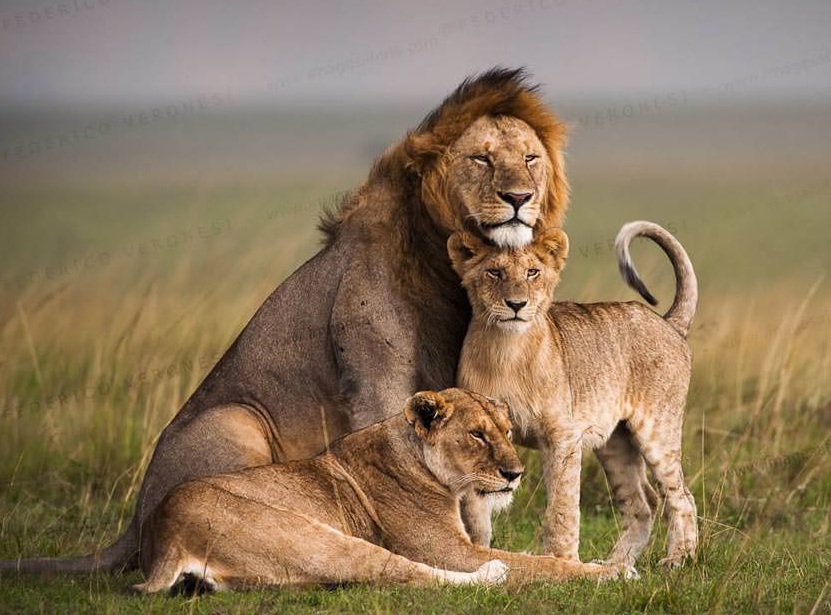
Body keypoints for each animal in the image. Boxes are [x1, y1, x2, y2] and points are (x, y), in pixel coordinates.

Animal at [1, 68, 571, 574]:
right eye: (481, 158)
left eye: (529, 159)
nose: (518, 198)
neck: (443, 262)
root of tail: (135, 521)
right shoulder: (376, 380)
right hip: (236, 420)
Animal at [134, 388, 634, 593]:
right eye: (476, 435)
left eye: (507, 431)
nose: (514, 474)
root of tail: (165, 535)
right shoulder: (451, 550)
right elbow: (540, 564)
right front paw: (611, 571)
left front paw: (597, 563)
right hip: (312, 537)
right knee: (404, 573)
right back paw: (493, 574)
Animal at [448, 221, 699, 568]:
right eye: (494, 272)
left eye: (532, 272)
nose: (516, 305)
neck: (505, 350)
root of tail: (668, 323)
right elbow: (475, 513)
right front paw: (478, 555)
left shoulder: (563, 437)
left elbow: (562, 508)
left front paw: (563, 561)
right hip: (615, 444)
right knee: (642, 504)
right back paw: (615, 566)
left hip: (658, 431)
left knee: (681, 497)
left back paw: (678, 559)